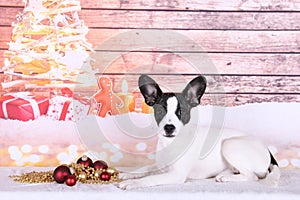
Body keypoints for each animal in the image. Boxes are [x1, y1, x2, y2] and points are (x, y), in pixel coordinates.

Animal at [117, 74, 278, 189]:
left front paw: (134, 183)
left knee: (252, 176)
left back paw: (228, 177)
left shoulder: (177, 175)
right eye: (160, 111)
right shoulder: (160, 166)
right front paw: (129, 174)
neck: (171, 142)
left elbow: (150, 177)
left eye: (181, 112)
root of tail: (268, 152)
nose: (169, 128)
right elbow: (145, 168)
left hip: (229, 144)